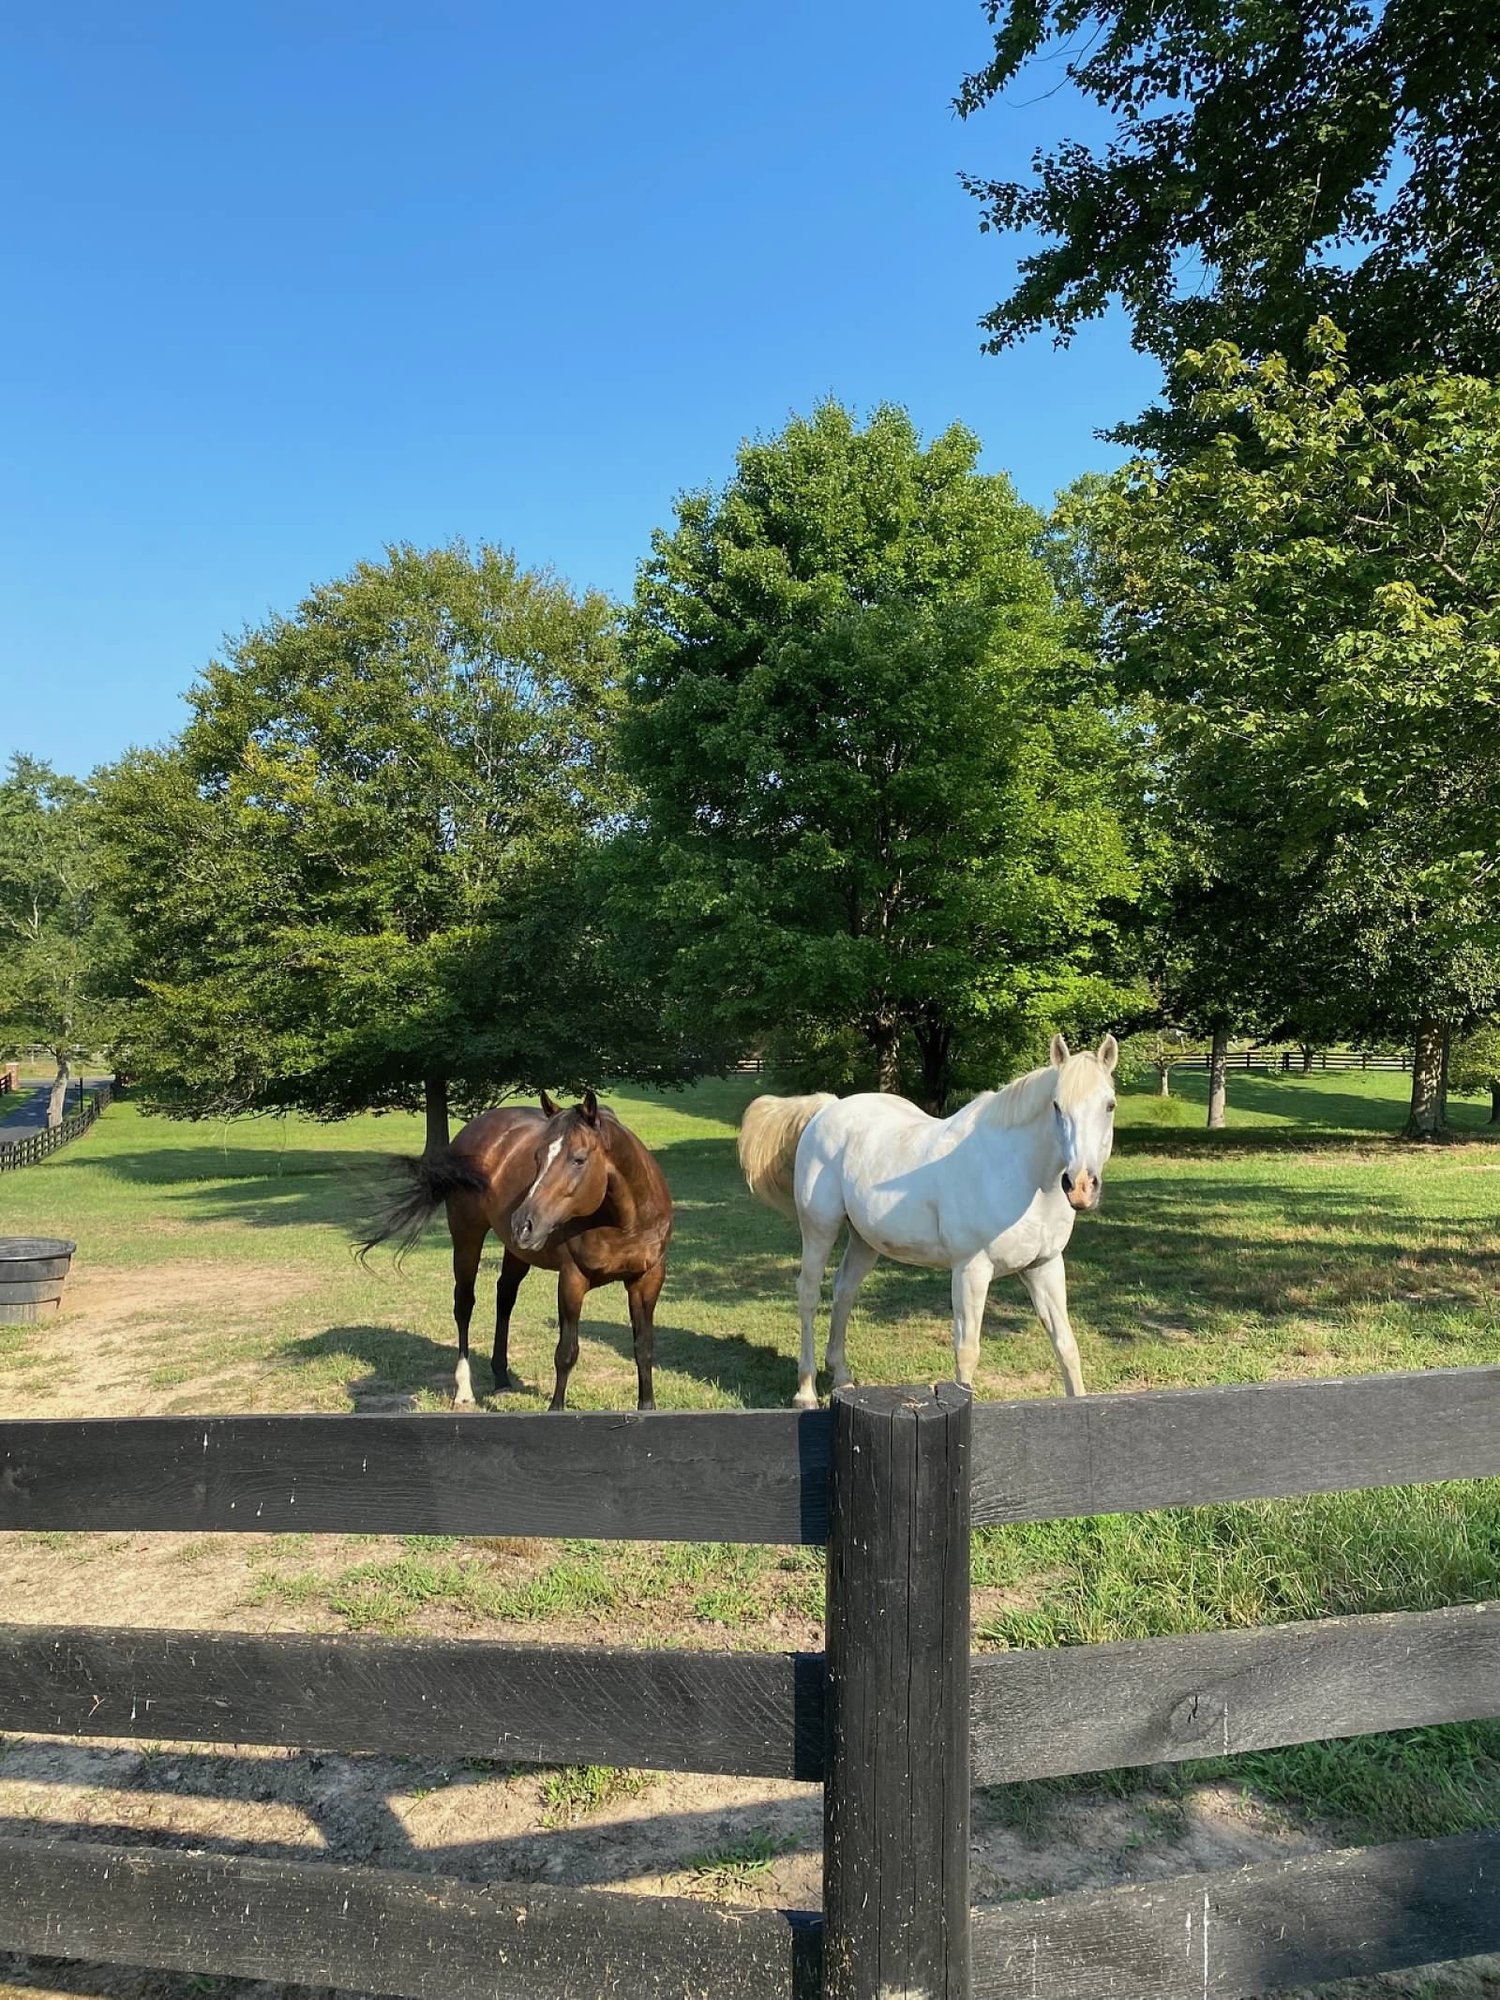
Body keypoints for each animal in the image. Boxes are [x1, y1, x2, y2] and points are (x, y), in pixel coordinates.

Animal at [360, 1090, 673, 1412]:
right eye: (537, 1157)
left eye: (579, 1159)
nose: (523, 1223)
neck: (624, 1222)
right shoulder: (572, 1280)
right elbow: (566, 1353)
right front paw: (555, 1409)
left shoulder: (647, 1279)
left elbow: (643, 1348)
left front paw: (647, 1407)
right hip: (467, 1237)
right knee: (464, 1304)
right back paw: (464, 1389)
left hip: (517, 1252)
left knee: (505, 1297)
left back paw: (501, 1377)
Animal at [737, 1033, 1118, 1406]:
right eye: (1056, 1105)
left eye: (1109, 1105)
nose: (1080, 1186)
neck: (1017, 1173)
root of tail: (829, 1108)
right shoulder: (971, 1270)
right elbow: (967, 1351)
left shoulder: (1044, 1266)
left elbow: (1066, 1345)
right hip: (819, 1228)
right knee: (809, 1293)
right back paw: (805, 1392)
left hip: (864, 1240)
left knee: (844, 1290)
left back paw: (842, 1379)